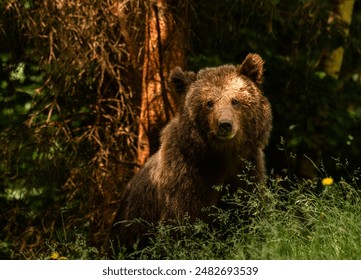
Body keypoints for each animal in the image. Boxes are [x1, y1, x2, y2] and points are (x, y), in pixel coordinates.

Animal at [111, 53, 272, 248]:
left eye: (235, 101)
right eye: (209, 103)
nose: (225, 125)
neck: (221, 156)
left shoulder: (247, 168)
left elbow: (248, 211)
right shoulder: (185, 177)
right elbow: (184, 224)